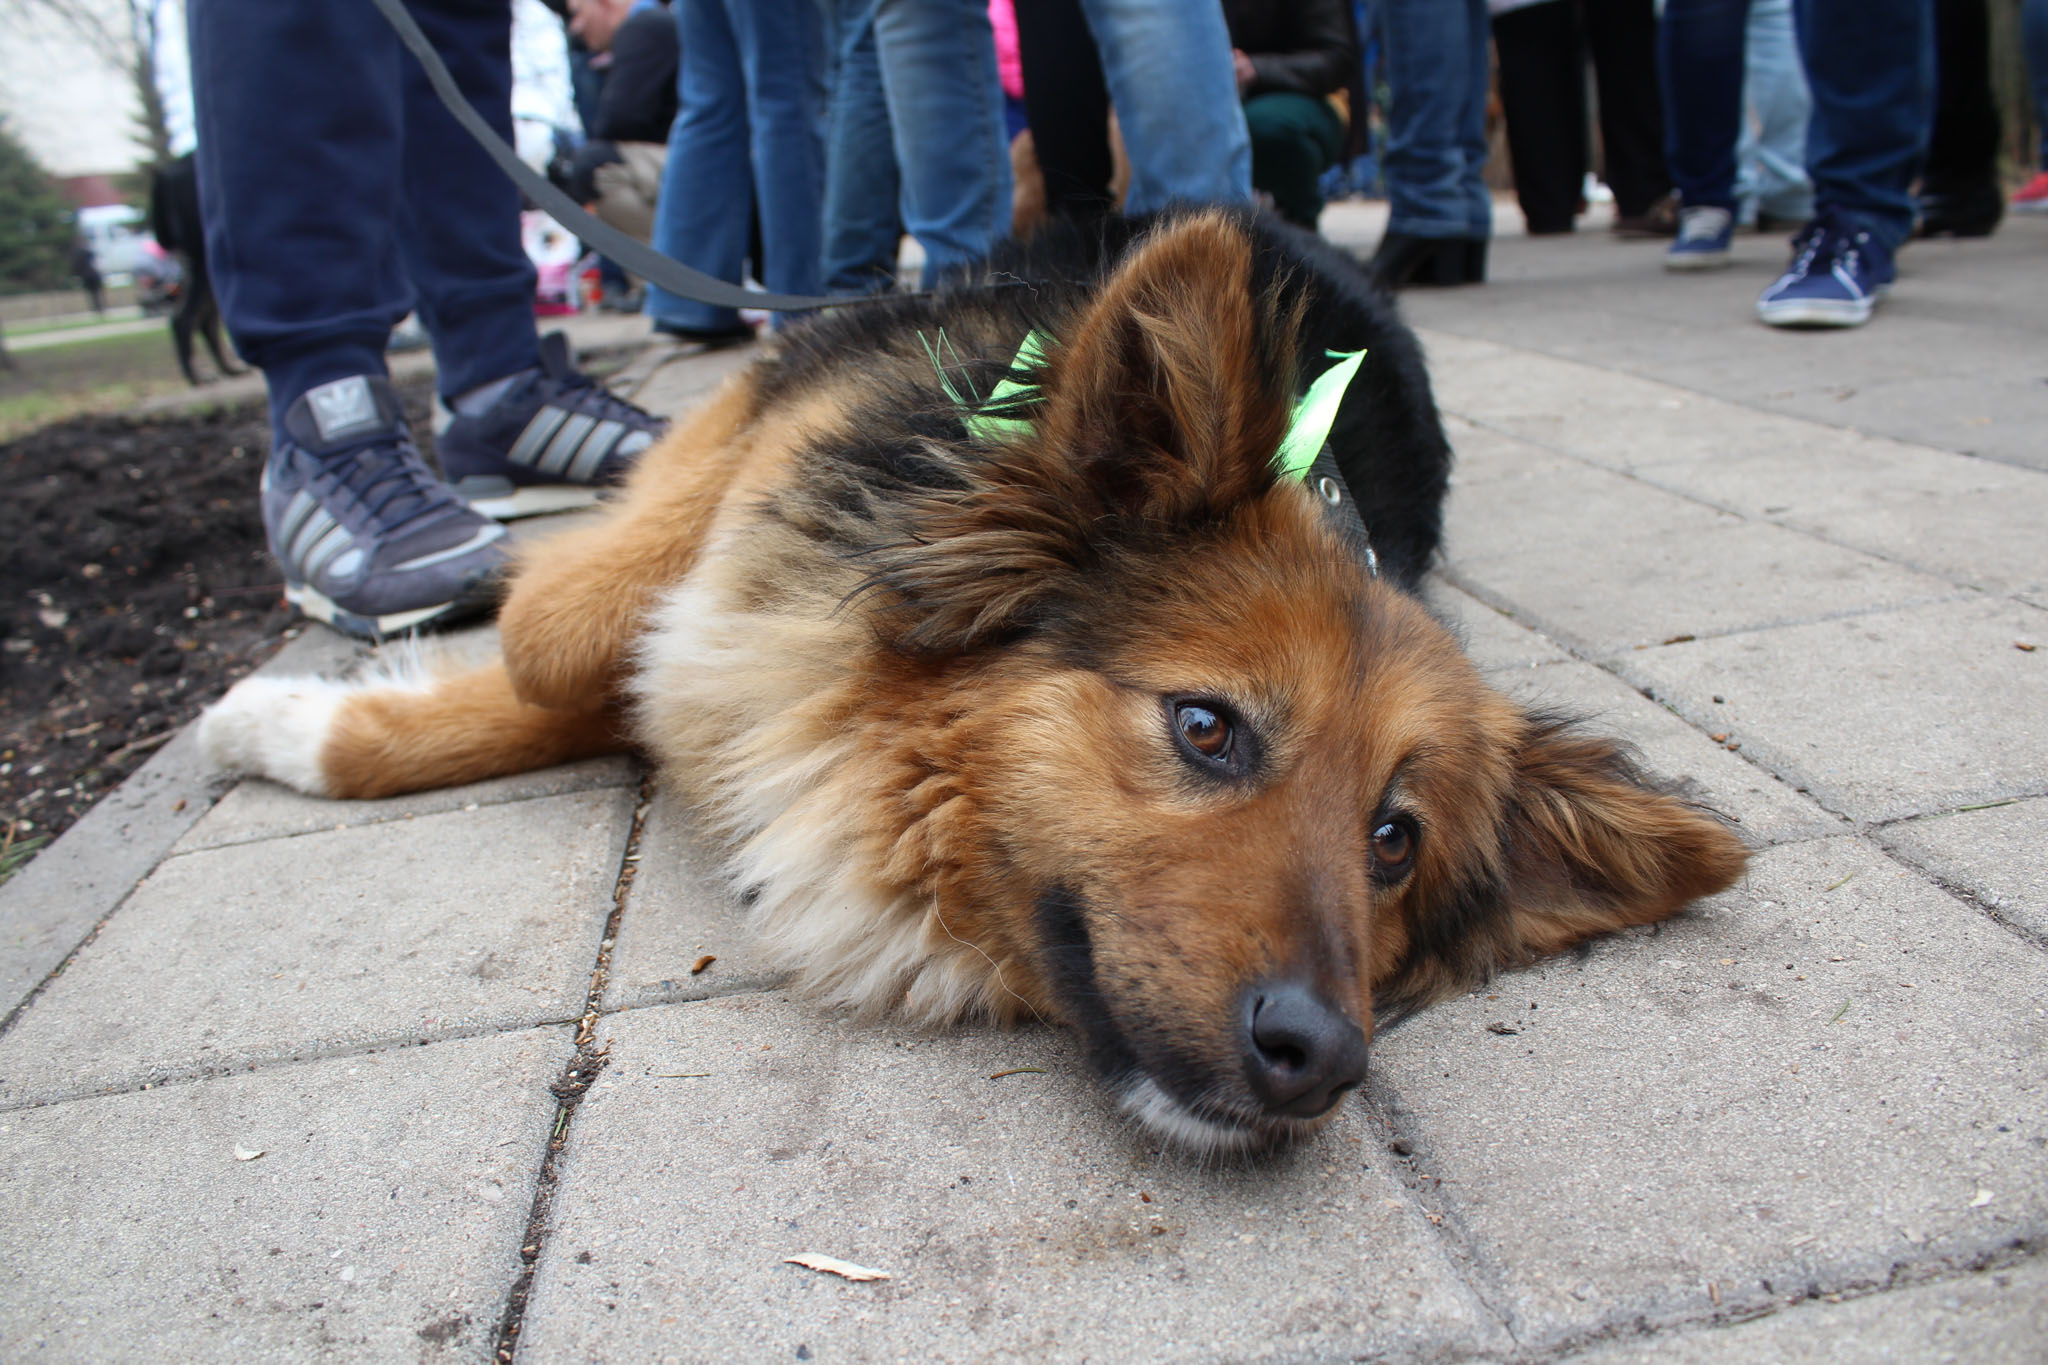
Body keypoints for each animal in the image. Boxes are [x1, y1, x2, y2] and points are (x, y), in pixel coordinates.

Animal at [147, 155, 242, 388]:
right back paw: (196, 375)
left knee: (205, 319)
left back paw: (227, 368)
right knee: (185, 317)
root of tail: (165, 172)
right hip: (209, 257)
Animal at [203, 210, 1744, 1154]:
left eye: (1393, 841)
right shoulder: (770, 470)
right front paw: (299, 708)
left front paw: (296, 717)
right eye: (1205, 727)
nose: (1321, 1058)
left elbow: (618, 669)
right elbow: (563, 635)